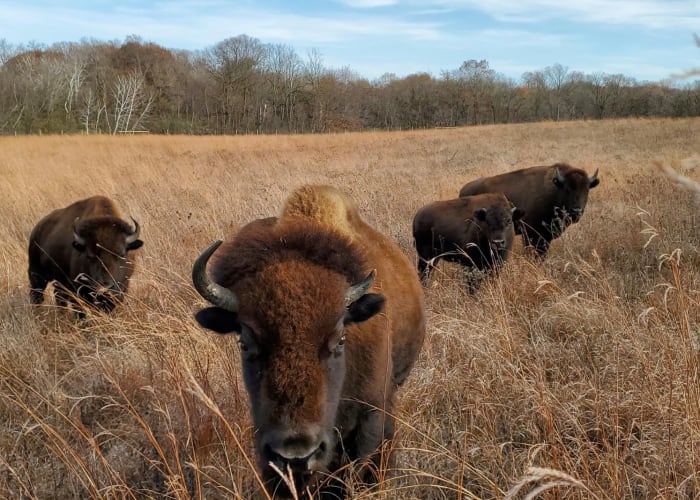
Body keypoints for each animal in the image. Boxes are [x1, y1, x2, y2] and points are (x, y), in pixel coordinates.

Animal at [456, 163, 600, 258]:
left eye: (587, 189)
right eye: (567, 188)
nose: (576, 211)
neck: (554, 190)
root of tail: (463, 190)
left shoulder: (545, 236)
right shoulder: (531, 234)